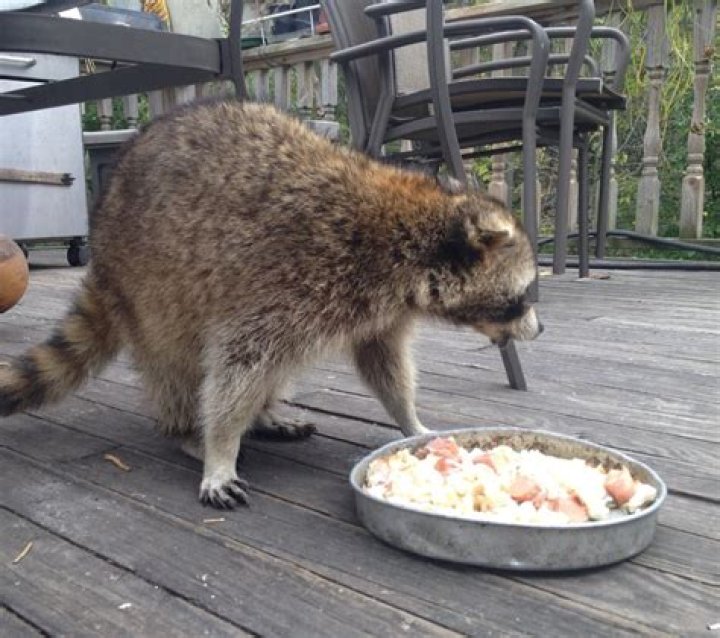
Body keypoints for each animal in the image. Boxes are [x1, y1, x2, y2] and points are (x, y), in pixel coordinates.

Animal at [0, 101, 542, 509]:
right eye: (525, 296)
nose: (539, 331)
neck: (414, 233)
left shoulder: (377, 310)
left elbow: (382, 364)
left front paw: (409, 420)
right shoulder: (294, 279)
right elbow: (239, 362)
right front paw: (220, 448)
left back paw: (262, 415)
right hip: (150, 289)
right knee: (179, 364)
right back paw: (188, 429)